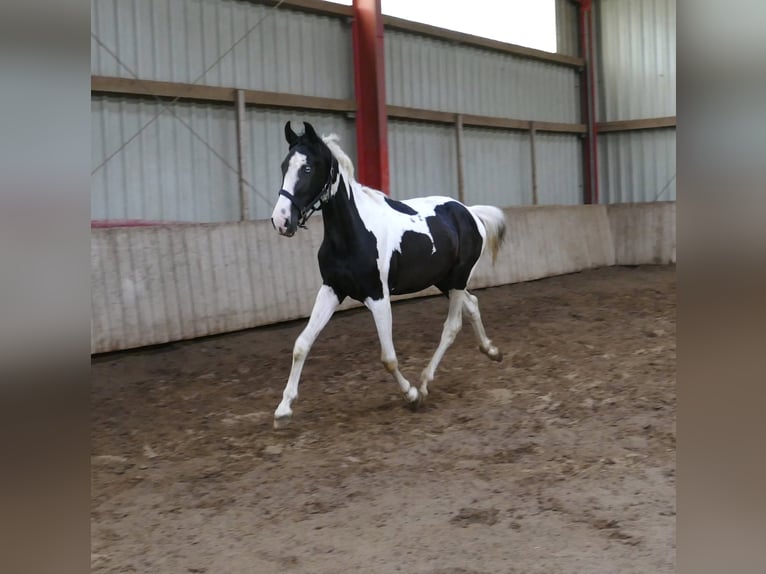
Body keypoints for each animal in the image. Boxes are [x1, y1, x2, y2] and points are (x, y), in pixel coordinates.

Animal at [269, 121, 506, 429]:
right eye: (284, 165)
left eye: (308, 168)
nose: (281, 220)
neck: (352, 234)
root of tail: (469, 213)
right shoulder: (332, 289)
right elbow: (301, 344)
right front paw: (283, 410)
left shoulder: (378, 296)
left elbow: (388, 357)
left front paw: (412, 395)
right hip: (445, 281)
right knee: (473, 304)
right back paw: (491, 351)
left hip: (457, 279)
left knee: (452, 326)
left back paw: (425, 383)